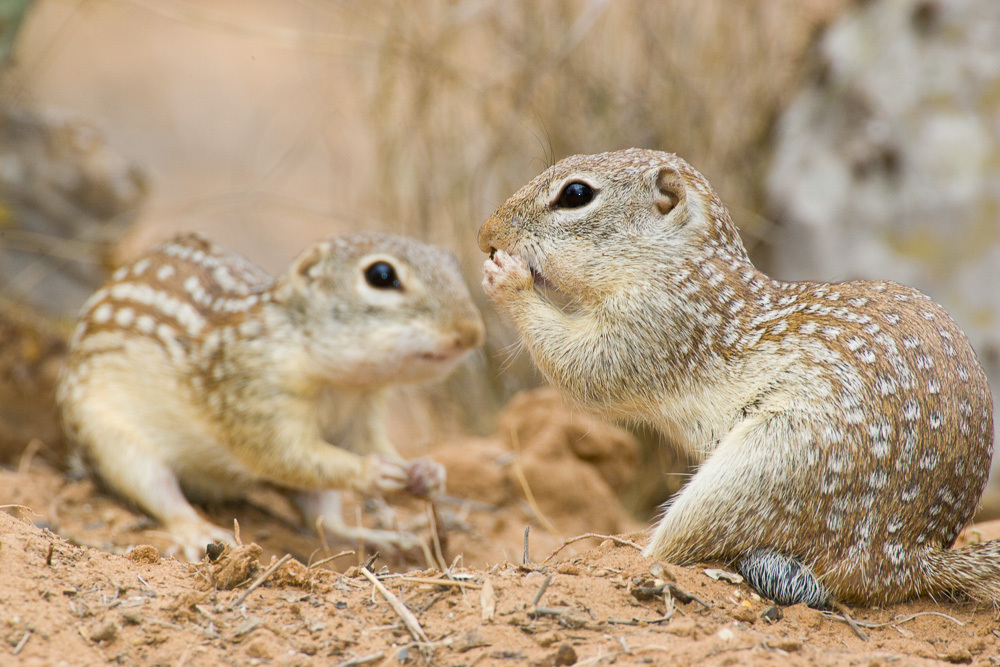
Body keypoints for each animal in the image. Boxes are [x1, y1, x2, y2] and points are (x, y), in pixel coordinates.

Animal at [57, 232, 484, 560]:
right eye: (381, 275)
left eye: (452, 262)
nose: (472, 333)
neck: (343, 384)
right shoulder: (253, 396)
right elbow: (282, 454)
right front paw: (372, 472)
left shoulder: (361, 415)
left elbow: (372, 446)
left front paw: (426, 472)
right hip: (115, 445)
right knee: (163, 497)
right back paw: (200, 530)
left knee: (325, 521)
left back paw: (386, 538)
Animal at [478, 148, 996, 608]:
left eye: (576, 194)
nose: (486, 233)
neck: (678, 263)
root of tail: (909, 557)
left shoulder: (661, 322)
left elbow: (585, 368)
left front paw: (507, 278)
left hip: (763, 468)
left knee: (679, 548)